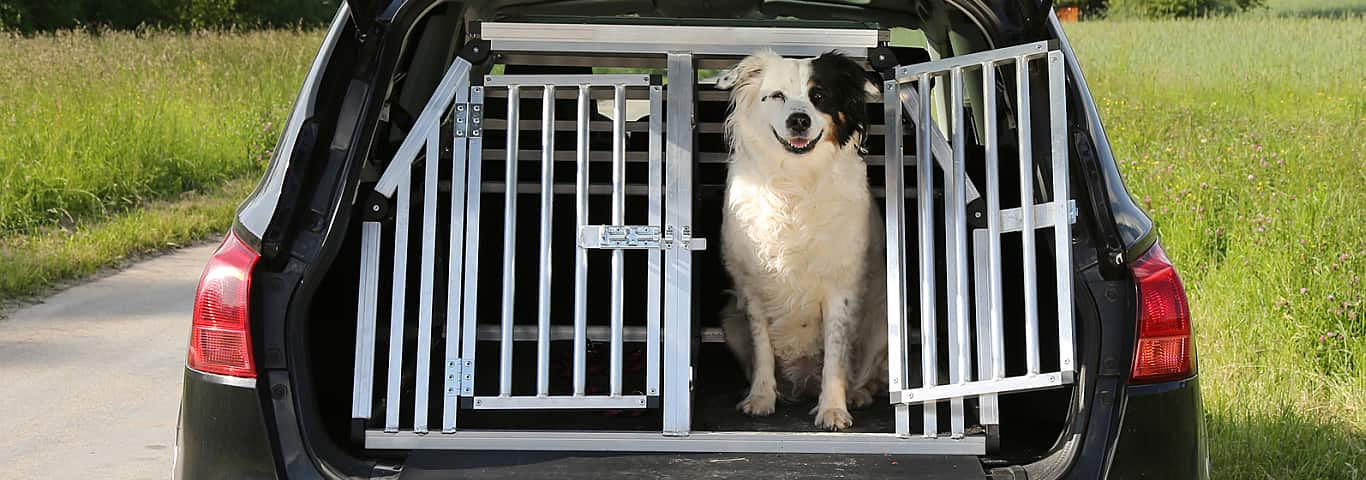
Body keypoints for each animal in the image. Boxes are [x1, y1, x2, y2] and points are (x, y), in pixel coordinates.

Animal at [710, 50, 890, 429]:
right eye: (776, 96)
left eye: (818, 96)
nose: (798, 120)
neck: (795, 180)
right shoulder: (753, 289)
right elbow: (763, 348)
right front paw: (761, 397)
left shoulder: (841, 287)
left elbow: (836, 354)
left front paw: (833, 408)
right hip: (730, 318)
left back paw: (857, 394)